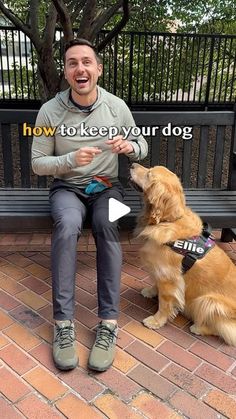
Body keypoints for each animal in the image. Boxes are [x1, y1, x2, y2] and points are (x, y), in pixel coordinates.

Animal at [131, 162, 236, 346]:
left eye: (149, 174)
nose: (132, 164)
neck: (168, 220)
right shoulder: (160, 272)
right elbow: (155, 284)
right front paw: (151, 291)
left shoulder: (169, 278)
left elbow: (164, 303)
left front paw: (156, 321)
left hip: (207, 301)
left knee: (224, 330)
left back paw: (198, 328)